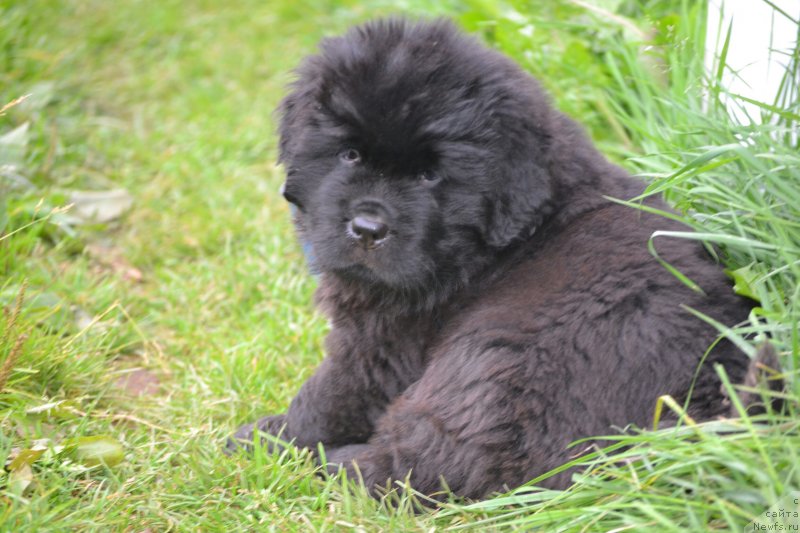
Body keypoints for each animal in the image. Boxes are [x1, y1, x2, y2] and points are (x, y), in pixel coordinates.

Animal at [228, 18, 752, 496]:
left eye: (430, 176)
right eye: (349, 154)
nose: (368, 229)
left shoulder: (378, 343)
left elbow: (327, 395)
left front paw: (268, 439)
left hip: (487, 364)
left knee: (422, 465)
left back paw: (326, 462)